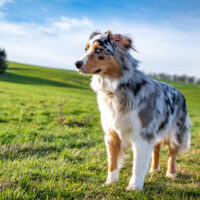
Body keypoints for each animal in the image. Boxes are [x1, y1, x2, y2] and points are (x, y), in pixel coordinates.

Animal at [74, 30, 191, 190]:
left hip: (175, 131)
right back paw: (154, 170)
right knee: (156, 149)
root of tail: (178, 90)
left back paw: (171, 173)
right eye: (85, 49)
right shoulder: (112, 135)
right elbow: (112, 162)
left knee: (172, 153)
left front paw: (134, 187)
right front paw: (110, 182)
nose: (76, 63)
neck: (114, 90)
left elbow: (137, 165)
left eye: (98, 50)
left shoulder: (142, 135)